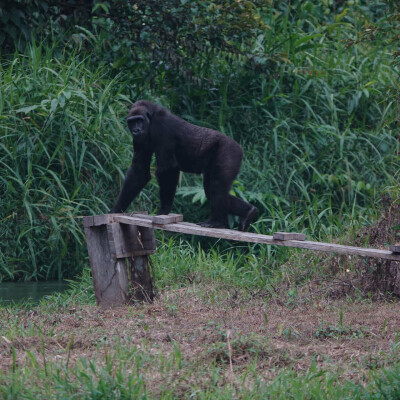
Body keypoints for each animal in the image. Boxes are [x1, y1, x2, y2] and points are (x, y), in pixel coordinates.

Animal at [111, 100, 256, 231]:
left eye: (139, 120)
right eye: (131, 121)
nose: (136, 130)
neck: (151, 118)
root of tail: (239, 148)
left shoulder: (162, 127)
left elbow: (167, 169)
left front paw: (164, 209)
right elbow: (139, 171)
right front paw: (116, 209)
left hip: (230, 152)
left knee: (217, 187)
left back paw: (217, 221)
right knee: (211, 190)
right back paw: (248, 212)